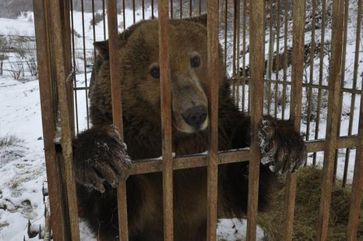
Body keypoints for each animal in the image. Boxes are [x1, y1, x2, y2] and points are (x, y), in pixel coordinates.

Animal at [72, 15, 306, 241]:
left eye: (195, 59)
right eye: (155, 71)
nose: (195, 113)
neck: (180, 143)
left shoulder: (219, 149)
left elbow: (246, 184)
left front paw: (280, 142)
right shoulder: (143, 166)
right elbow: (113, 215)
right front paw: (101, 158)